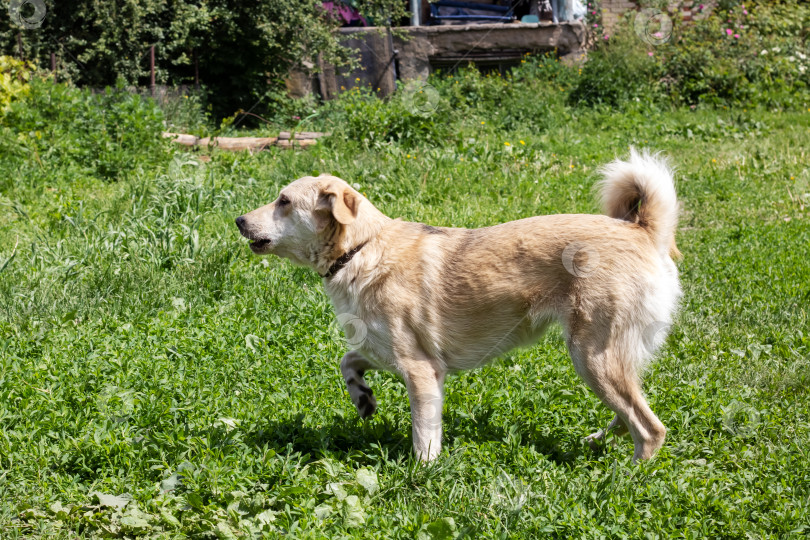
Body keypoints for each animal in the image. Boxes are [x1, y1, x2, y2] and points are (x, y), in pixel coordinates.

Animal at [237, 150, 680, 462]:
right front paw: (362, 397)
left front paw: (421, 479)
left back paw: (626, 479)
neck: (361, 249)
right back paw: (597, 441)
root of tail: (641, 230)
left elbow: (424, 440)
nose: (239, 220)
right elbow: (348, 361)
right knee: (629, 416)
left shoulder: (420, 370)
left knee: (650, 428)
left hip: (591, 356)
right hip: (605, 361)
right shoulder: (389, 353)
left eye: (283, 201)